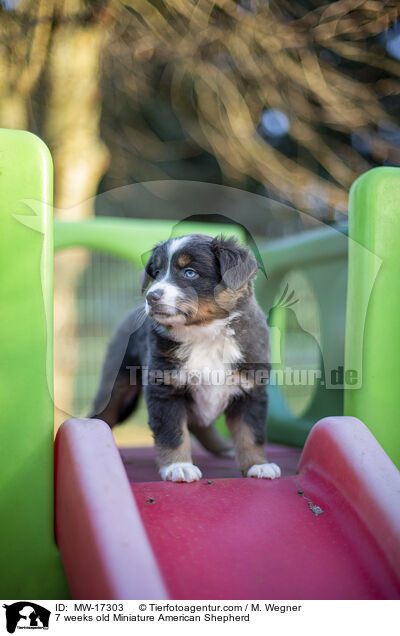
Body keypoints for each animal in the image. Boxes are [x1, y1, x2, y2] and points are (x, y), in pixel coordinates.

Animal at [91, 234, 282, 482]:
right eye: (157, 272)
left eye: (189, 272)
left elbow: (251, 433)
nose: (151, 297)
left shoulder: (250, 390)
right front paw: (178, 466)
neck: (206, 335)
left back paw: (224, 448)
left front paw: (258, 465)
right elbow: (173, 433)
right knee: (102, 414)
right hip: (117, 385)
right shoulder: (165, 387)